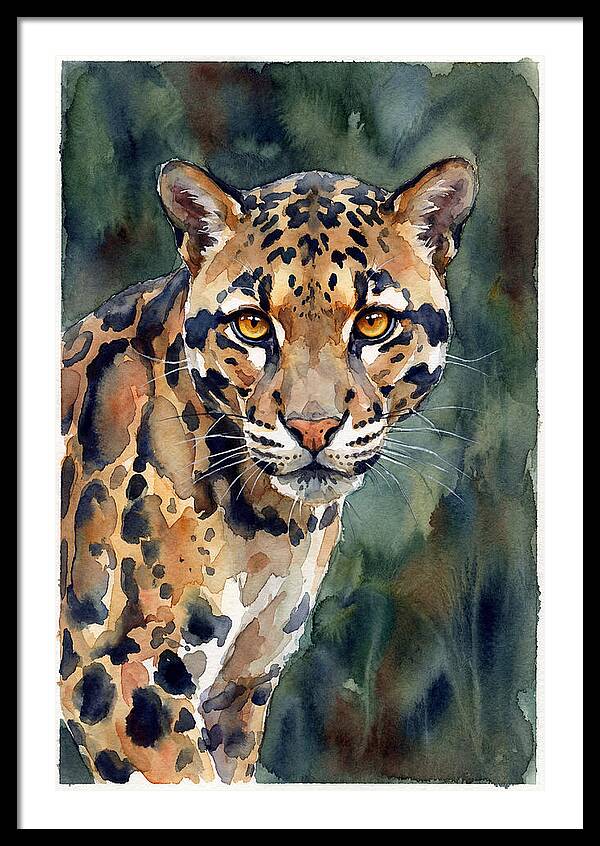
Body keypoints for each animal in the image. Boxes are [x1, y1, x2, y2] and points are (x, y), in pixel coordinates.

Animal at [60, 156, 477, 784]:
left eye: (374, 323)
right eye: (253, 325)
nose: (313, 427)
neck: (270, 526)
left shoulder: (240, 689)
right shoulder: (118, 676)